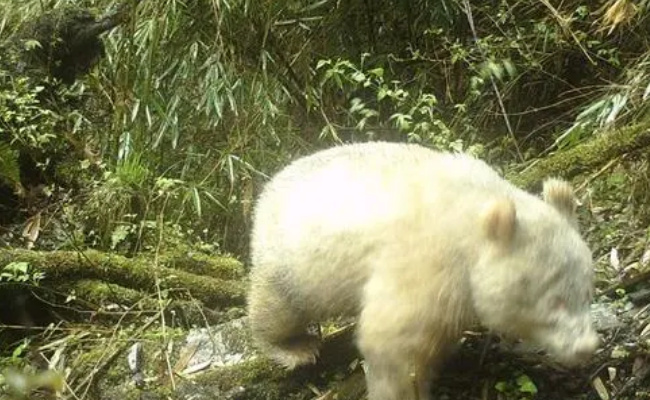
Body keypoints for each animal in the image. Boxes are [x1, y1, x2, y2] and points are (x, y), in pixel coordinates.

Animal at [247, 141, 599, 400]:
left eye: (587, 294)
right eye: (555, 301)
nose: (587, 348)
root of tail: (267, 190)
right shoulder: (427, 260)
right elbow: (392, 339)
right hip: (289, 258)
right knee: (277, 308)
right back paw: (295, 348)